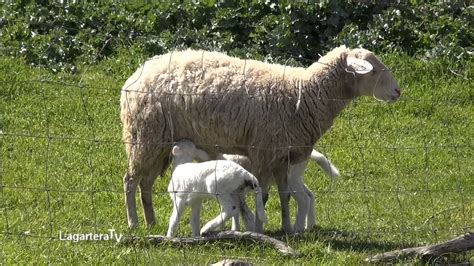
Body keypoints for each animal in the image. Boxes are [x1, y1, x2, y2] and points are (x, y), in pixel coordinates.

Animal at [121, 45, 400, 233]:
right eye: (374, 71)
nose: (398, 91)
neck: (303, 94)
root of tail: (137, 72)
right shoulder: (265, 151)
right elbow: (264, 195)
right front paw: (258, 228)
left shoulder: (283, 155)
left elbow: (286, 195)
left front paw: (288, 229)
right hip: (144, 136)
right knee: (131, 181)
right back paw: (134, 223)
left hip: (158, 143)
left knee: (145, 183)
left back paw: (151, 221)